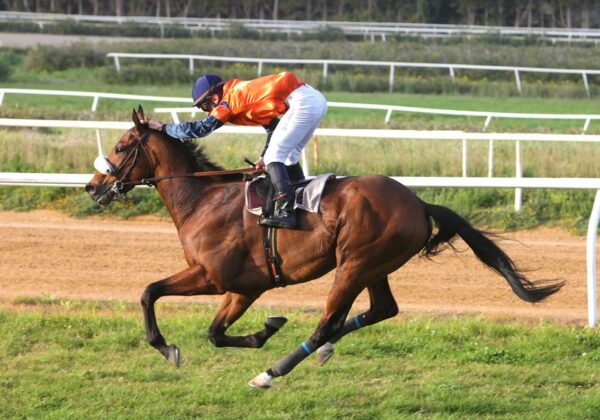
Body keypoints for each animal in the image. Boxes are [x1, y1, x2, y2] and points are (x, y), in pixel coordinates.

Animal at [85, 106, 568, 388]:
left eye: (121, 146)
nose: (92, 186)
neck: (204, 198)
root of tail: (418, 202)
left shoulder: (215, 277)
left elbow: (150, 292)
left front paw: (167, 347)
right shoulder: (244, 287)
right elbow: (215, 333)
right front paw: (267, 327)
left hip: (353, 264)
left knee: (327, 322)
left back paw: (273, 372)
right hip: (374, 265)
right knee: (381, 309)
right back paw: (323, 348)